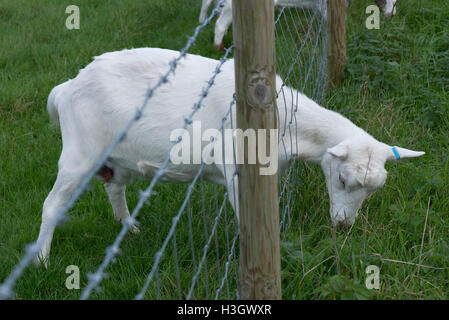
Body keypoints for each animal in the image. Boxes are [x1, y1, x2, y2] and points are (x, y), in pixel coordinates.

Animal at [36, 47, 422, 262]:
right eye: (341, 178)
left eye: (372, 192)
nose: (343, 225)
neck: (285, 122)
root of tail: (67, 87)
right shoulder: (239, 169)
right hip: (80, 153)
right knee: (52, 204)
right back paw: (41, 259)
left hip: (119, 158)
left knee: (114, 187)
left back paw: (129, 226)